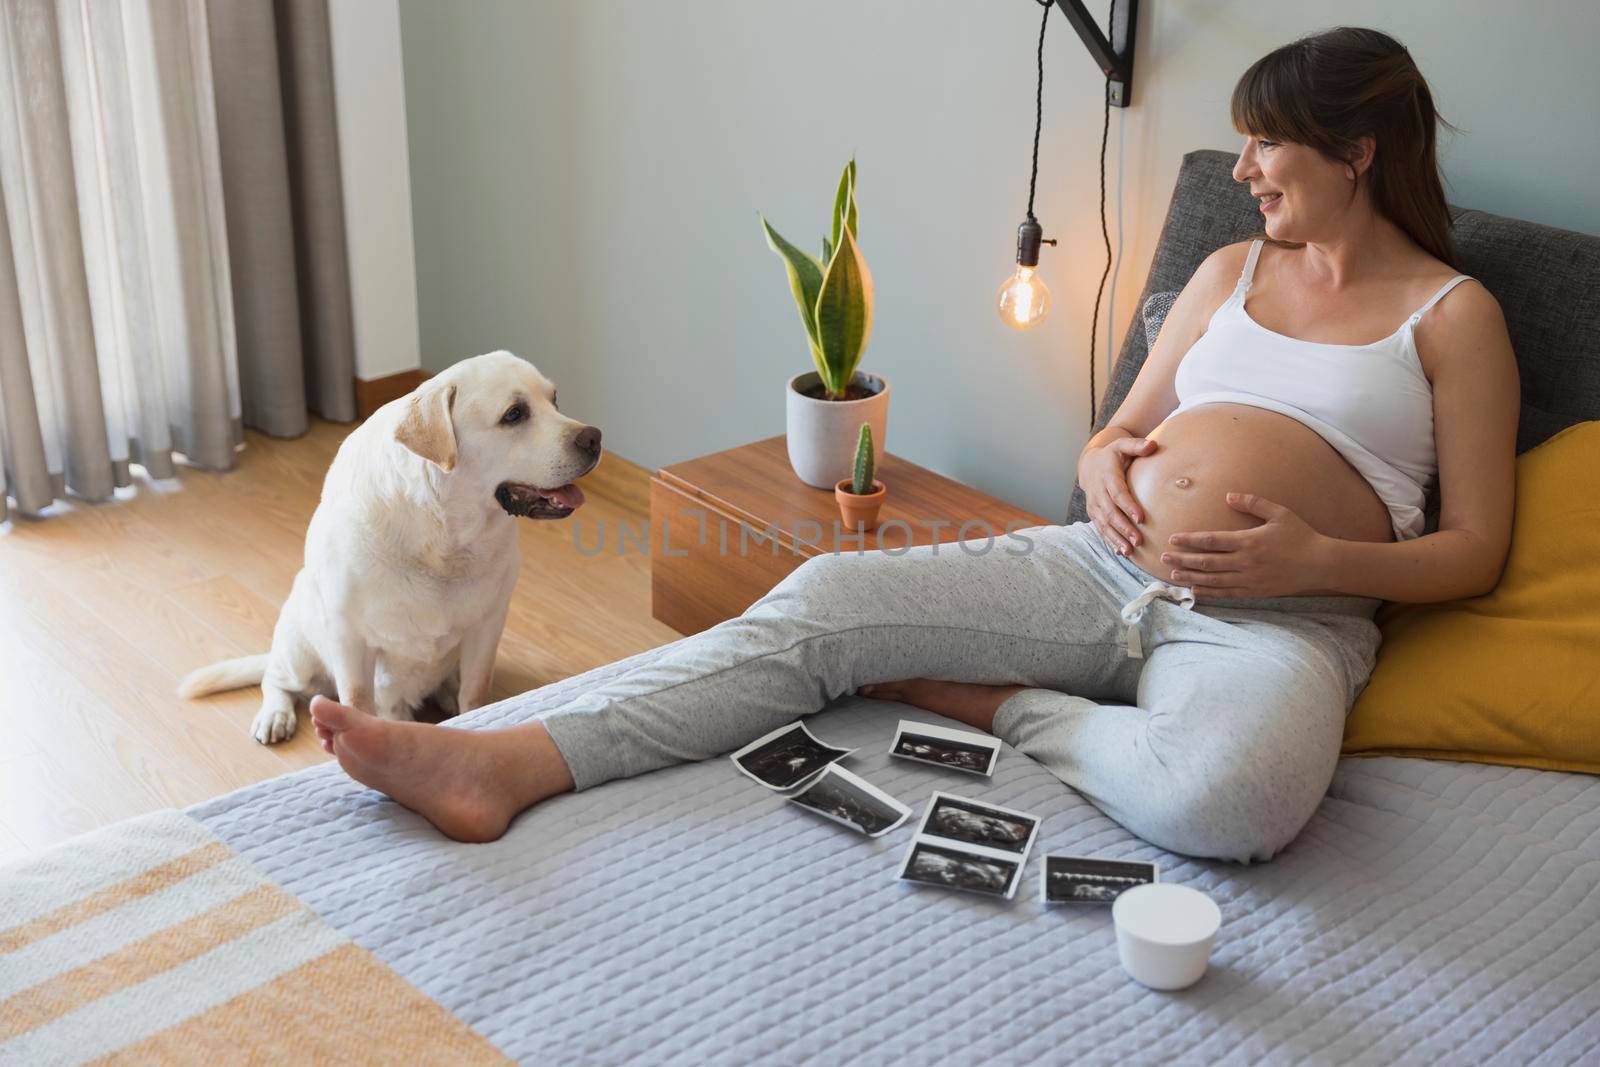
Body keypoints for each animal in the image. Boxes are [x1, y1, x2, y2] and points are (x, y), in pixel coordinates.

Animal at [176, 350, 601, 742]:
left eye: (555, 400)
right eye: (514, 414)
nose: (594, 437)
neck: (445, 535)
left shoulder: (488, 624)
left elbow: (476, 691)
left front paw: (471, 717)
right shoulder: (349, 637)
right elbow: (356, 701)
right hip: (299, 647)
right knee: (276, 679)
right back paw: (275, 716)